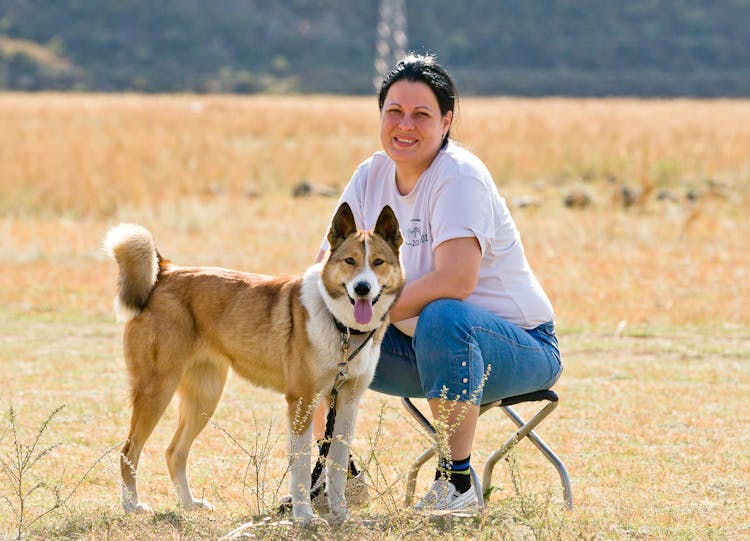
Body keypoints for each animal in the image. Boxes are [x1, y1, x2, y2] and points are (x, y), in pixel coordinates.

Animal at [106, 204, 406, 524]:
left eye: (377, 262)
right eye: (350, 261)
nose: (362, 288)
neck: (342, 329)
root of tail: (164, 272)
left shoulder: (347, 403)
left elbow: (336, 466)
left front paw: (340, 514)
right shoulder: (302, 402)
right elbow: (301, 467)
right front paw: (304, 516)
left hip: (204, 398)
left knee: (174, 452)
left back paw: (189, 504)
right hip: (157, 389)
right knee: (129, 450)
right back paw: (132, 506)